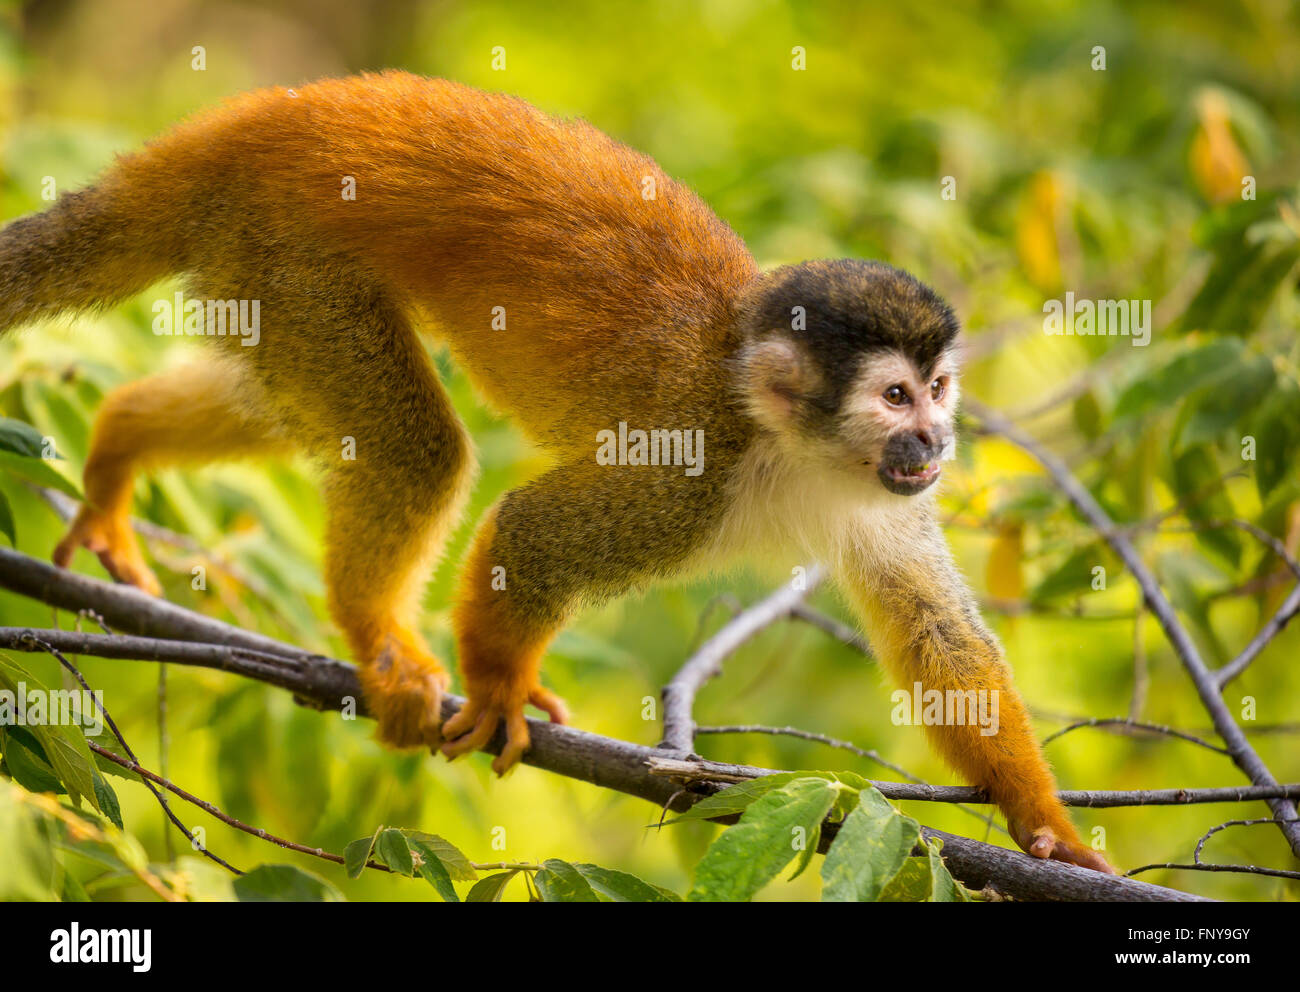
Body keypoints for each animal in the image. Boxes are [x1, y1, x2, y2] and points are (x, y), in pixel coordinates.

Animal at [0, 71, 1112, 873]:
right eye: (893, 397)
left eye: (939, 390)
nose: (937, 442)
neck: (784, 439)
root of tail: (260, 118)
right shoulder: (686, 472)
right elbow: (535, 529)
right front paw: (498, 685)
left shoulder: (883, 499)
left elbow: (938, 638)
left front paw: (1045, 829)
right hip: (293, 255)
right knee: (415, 448)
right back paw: (375, 633)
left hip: (254, 270)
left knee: (295, 412)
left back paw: (118, 442)